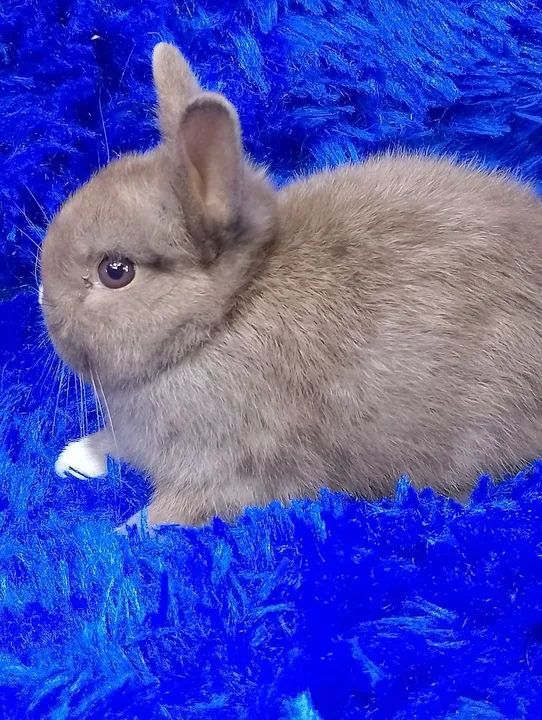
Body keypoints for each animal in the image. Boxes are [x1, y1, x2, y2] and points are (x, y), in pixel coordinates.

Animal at [40, 42, 542, 527]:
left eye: (116, 271)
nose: (44, 299)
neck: (223, 316)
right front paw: (76, 455)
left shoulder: (227, 472)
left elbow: (165, 517)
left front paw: (120, 531)